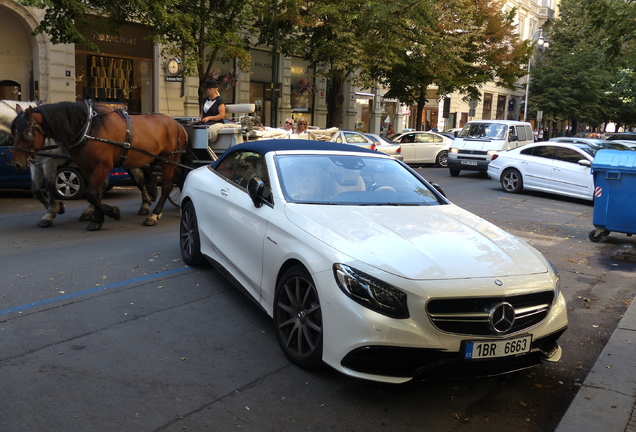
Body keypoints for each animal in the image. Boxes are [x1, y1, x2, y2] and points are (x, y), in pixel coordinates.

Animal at [10, 102, 186, 230]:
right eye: (13, 132)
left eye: (27, 133)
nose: (16, 163)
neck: (90, 129)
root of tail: (177, 124)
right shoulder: (86, 167)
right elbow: (93, 194)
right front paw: (97, 218)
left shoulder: (102, 166)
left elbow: (90, 193)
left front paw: (112, 212)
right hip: (156, 161)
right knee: (173, 179)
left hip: (168, 159)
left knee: (166, 186)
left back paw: (154, 215)